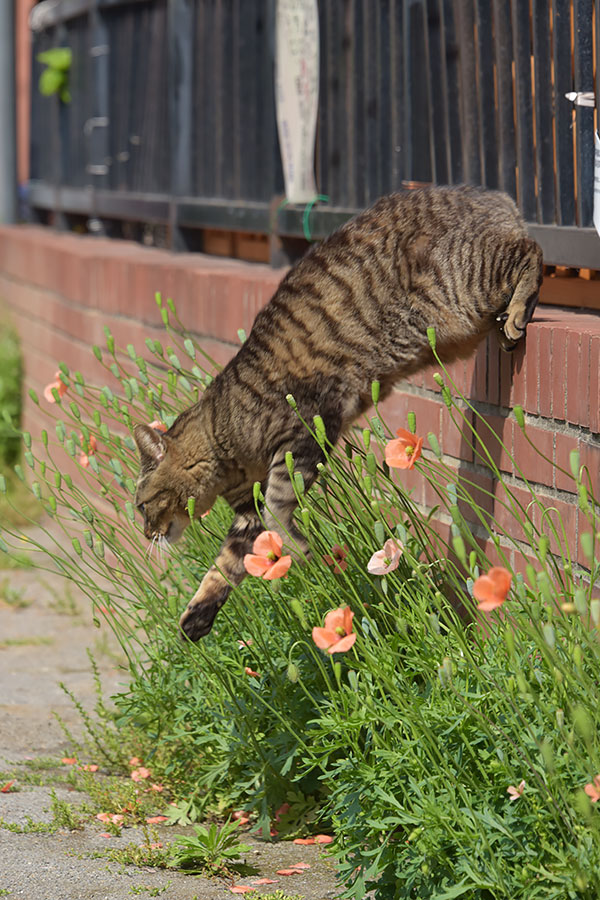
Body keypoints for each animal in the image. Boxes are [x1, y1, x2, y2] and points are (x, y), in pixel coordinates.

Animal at [135, 185, 544, 640]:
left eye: (141, 506)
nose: (146, 533)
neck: (223, 439)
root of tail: (492, 195)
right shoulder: (247, 511)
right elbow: (226, 563)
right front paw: (197, 615)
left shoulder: (303, 433)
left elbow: (278, 508)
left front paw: (299, 549)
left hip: (463, 284)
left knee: (531, 250)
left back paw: (516, 314)